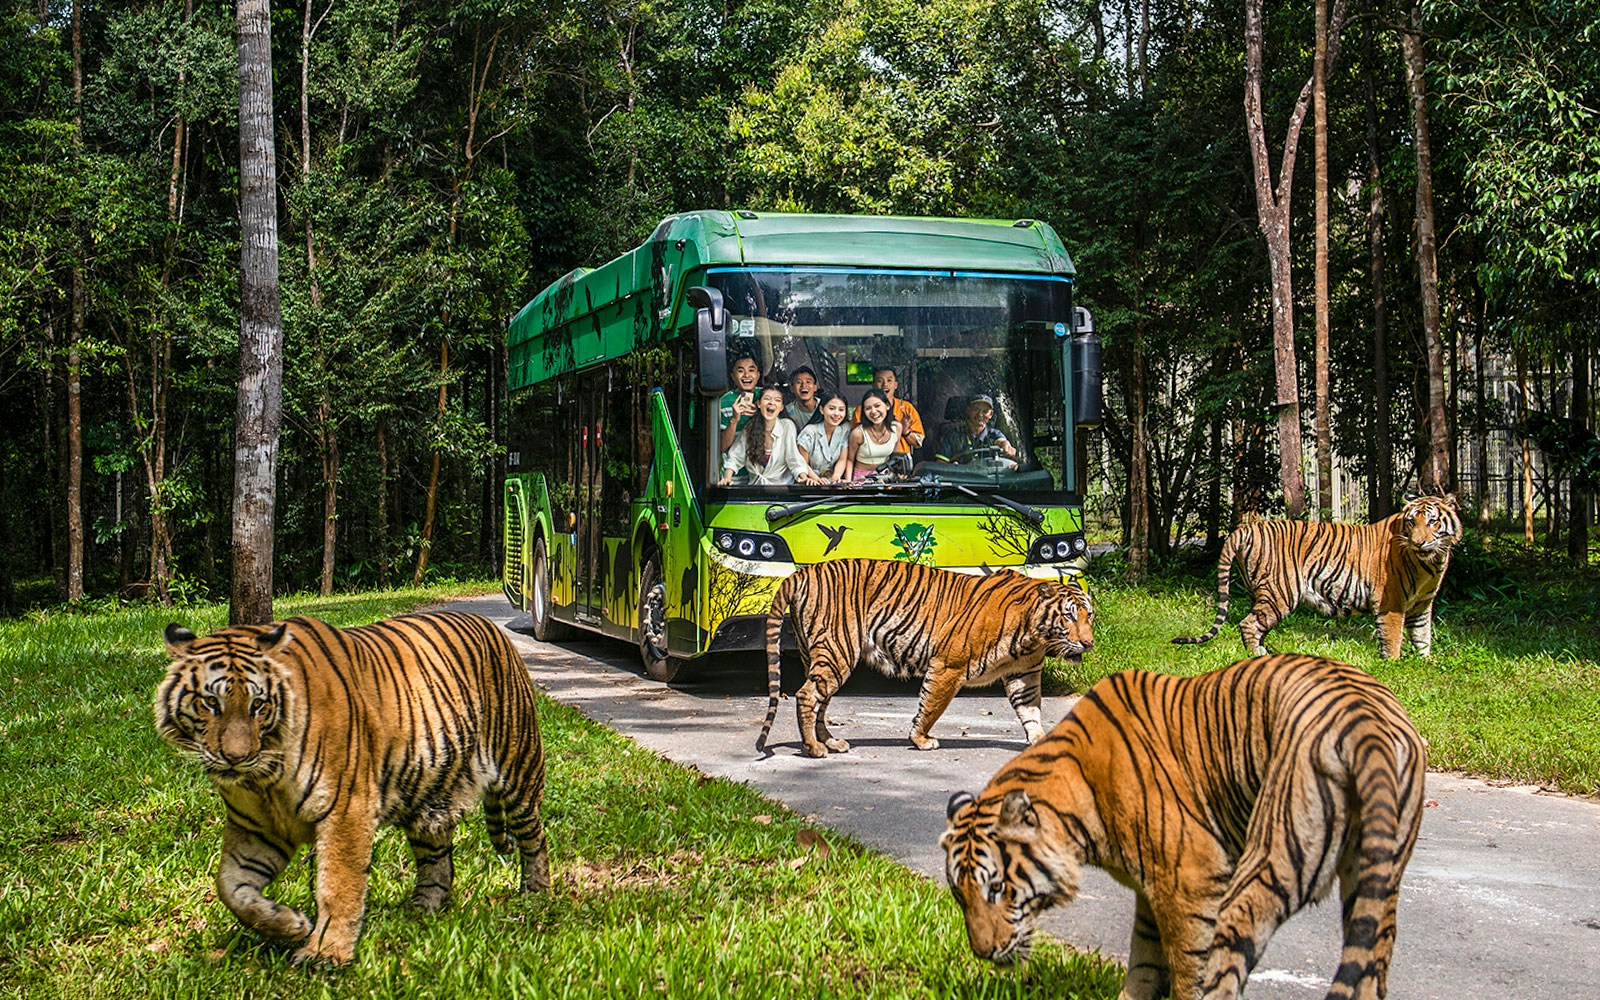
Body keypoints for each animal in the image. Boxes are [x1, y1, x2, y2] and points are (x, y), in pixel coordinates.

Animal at [153, 611, 548, 966]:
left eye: (258, 704)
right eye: (211, 703)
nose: (236, 757)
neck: (265, 778)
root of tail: (491, 627)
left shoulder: (345, 809)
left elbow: (338, 887)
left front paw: (325, 954)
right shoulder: (256, 828)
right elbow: (231, 887)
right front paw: (290, 924)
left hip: (519, 771)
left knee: (534, 838)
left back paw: (537, 895)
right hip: (429, 799)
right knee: (438, 863)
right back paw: (421, 911)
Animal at [754, 558, 1095, 758]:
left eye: (1089, 616)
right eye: (1068, 616)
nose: (1089, 643)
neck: (1033, 636)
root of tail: (802, 571)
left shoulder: (1023, 675)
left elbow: (1031, 712)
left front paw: (1041, 740)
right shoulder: (948, 665)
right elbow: (931, 707)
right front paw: (920, 739)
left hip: (820, 656)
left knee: (819, 700)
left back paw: (831, 743)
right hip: (838, 651)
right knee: (806, 695)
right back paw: (813, 748)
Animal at [942, 654, 1426, 1000]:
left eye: (997, 889)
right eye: (959, 895)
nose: (982, 952)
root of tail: (1365, 723)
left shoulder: (1190, 882)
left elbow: (1185, 969)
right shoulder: (1153, 890)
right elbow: (1143, 965)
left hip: (1269, 863)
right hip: (1374, 880)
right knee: (1371, 967)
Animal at [1173, 493, 1462, 658]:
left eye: (1432, 522)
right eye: (1412, 522)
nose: (1418, 543)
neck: (1432, 561)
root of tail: (1247, 529)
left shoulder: (1422, 604)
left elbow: (1422, 636)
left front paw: (1426, 662)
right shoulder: (1391, 602)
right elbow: (1393, 638)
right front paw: (1393, 664)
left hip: (1262, 593)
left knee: (1256, 623)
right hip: (1280, 593)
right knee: (1249, 624)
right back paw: (1258, 656)